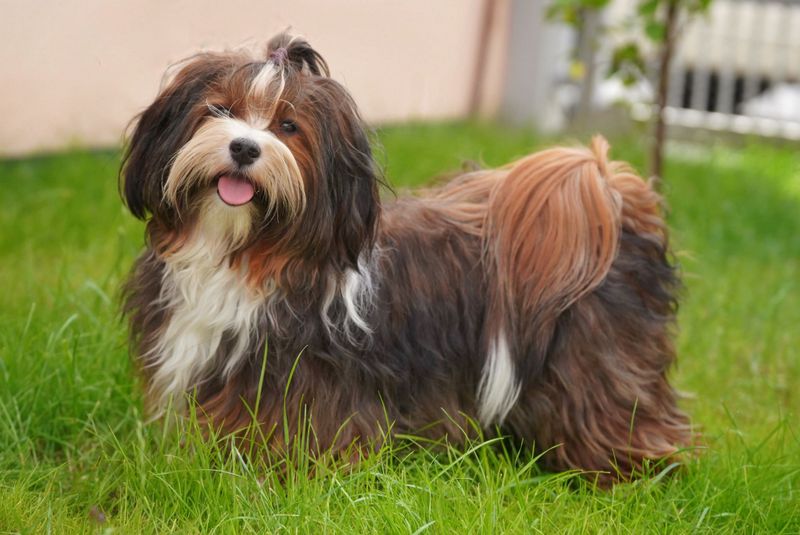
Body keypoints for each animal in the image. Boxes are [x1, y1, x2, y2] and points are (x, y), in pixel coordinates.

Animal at [121, 33, 691, 483]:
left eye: (288, 126)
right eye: (219, 110)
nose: (243, 148)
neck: (244, 254)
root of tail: (613, 201)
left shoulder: (306, 383)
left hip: (596, 362)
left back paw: (626, 470)